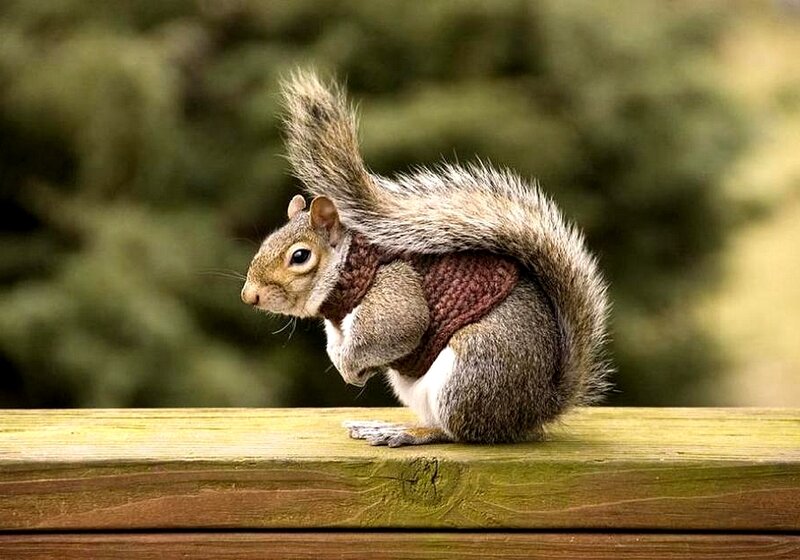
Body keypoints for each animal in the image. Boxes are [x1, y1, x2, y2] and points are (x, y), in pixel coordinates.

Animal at [241, 71, 610, 447]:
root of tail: (537, 408)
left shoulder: (395, 286)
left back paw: (405, 433)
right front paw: (342, 360)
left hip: (472, 370)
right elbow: (337, 342)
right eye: (267, 241)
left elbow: (397, 327)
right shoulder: (339, 325)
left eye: (300, 256)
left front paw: (349, 368)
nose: (249, 295)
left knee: (457, 432)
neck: (350, 264)